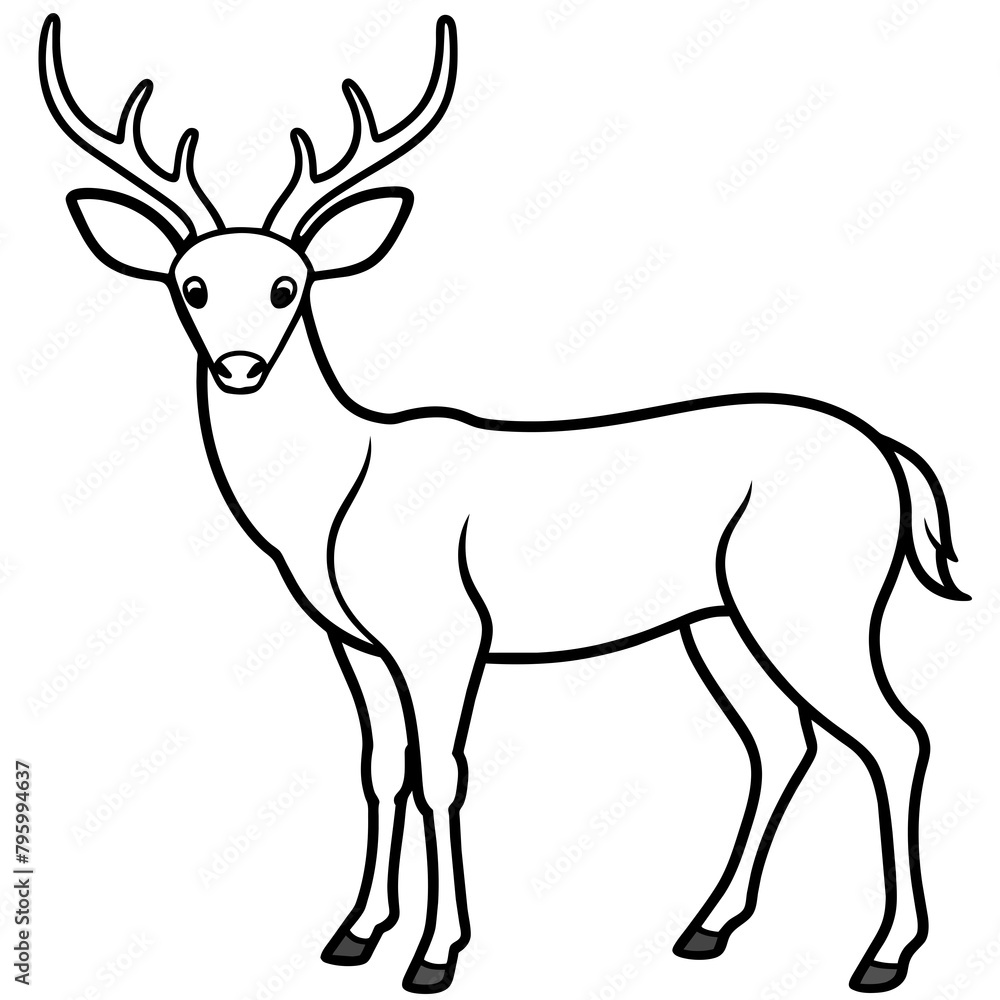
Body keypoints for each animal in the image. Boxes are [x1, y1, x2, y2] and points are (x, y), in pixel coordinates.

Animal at [40, 12, 969, 994]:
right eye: (193, 285)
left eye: (288, 286)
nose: (239, 366)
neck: (336, 498)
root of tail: (894, 456)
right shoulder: (355, 642)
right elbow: (382, 768)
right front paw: (354, 933)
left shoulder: (448, 631)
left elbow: (442, 772)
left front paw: (435, 954)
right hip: (717, 618)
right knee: (782, 739)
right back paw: (708, 927)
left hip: (815, 598)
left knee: (897, 736)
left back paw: (885, 954)